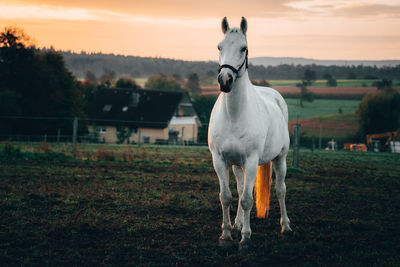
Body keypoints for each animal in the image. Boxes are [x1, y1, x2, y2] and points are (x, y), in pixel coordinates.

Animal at [209, 16, 290, 251]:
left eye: (243, 48)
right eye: (219, 46)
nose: (225, 80)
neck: (234, 114)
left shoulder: (252, 161)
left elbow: (247, 200)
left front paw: (245, 239)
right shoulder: (220, 160)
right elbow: (226, 197)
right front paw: (227, 235)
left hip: (280, 158)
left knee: (280, 190)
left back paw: (286, 227)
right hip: (237, 165)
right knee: (239, 188)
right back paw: (237, 224)